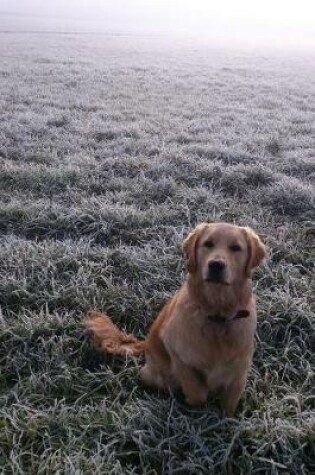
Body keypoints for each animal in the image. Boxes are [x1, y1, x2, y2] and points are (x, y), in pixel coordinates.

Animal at [87, 223, 266, 416]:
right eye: (208, 244)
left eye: (236, 248)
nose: (216, 265)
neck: (217, 316)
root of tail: (145, 344)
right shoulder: (179, 356)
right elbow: (197, 393)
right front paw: (195, 407)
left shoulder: (238, 374)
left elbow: (229, 407)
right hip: (155, 376)